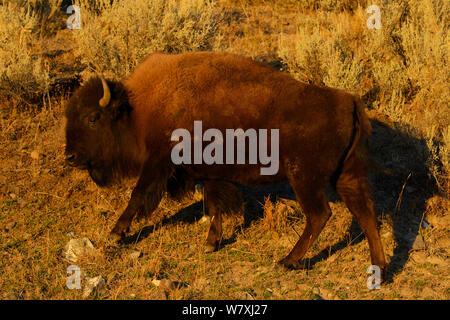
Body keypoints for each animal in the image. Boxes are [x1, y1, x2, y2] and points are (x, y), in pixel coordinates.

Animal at [64, 50, 386, 280]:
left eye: (93, 118)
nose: (70, 156)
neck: (139, 108)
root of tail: (349, 102)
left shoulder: (158, 164)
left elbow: (138, 196)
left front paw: (116, 233)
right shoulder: (208, 173)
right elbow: (214, 205)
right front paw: (211, 243)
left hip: (304, 178)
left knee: (320, 215)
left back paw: (288, 261)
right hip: (347, 176)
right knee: (366, 215)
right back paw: (379, 270)